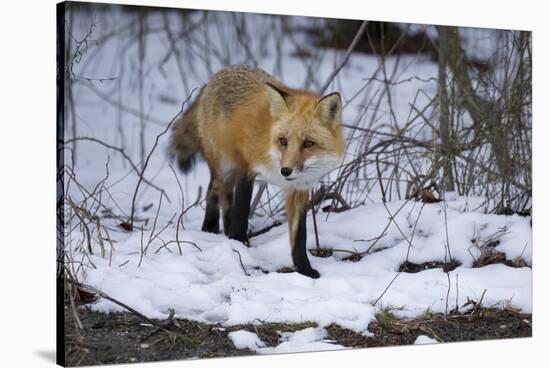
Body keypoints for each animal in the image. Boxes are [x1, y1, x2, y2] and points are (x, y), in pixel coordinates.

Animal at [172, 64, 344, 278]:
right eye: (283, 141)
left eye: (308, 144)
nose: (286, 171)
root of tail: (220, 72)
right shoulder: (246, 167)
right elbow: (242, 209)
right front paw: (238, 243)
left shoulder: (299, 189)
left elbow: (299, 236)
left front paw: (304, 269)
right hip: (224, 165)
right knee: (214, 191)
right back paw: (210, 229)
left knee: (225, 199)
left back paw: (225, 229)